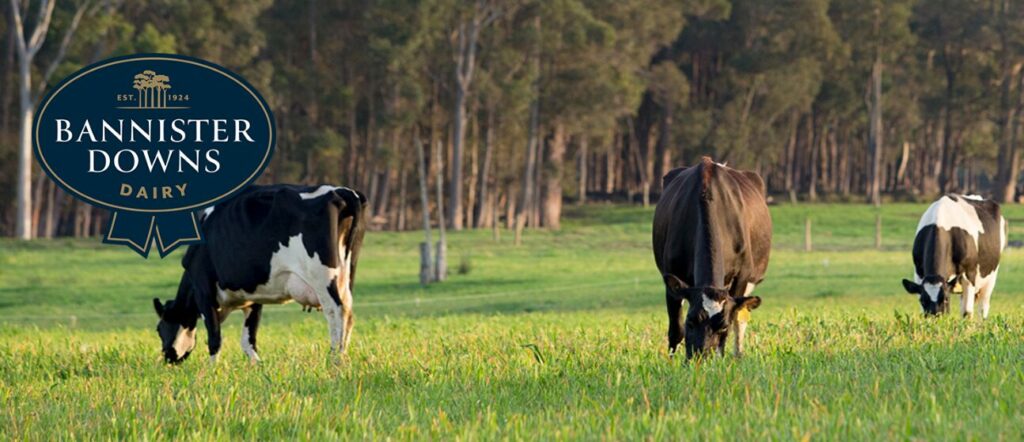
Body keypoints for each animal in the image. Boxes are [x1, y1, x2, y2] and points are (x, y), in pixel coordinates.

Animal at [152, 183, 368, 362]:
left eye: (159, 329)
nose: (167, 358)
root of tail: (340, 191)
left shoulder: (204, 291)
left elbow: (215, 338)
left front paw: (210, 372)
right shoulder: (253, 297)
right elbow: (248, 340)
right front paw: (258, 366)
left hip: (322, 276)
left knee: (336, 311)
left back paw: (334, 358)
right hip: (346, 275)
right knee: (349, 314)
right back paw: (342, 356)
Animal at [651, 157, 770, 360]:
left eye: (722, 326)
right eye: (690, 321)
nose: (700, 357)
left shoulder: (742, 275)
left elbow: (735, 318)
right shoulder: (672, 276)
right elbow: (675, 329)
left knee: (741, 319)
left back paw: (738, 355)